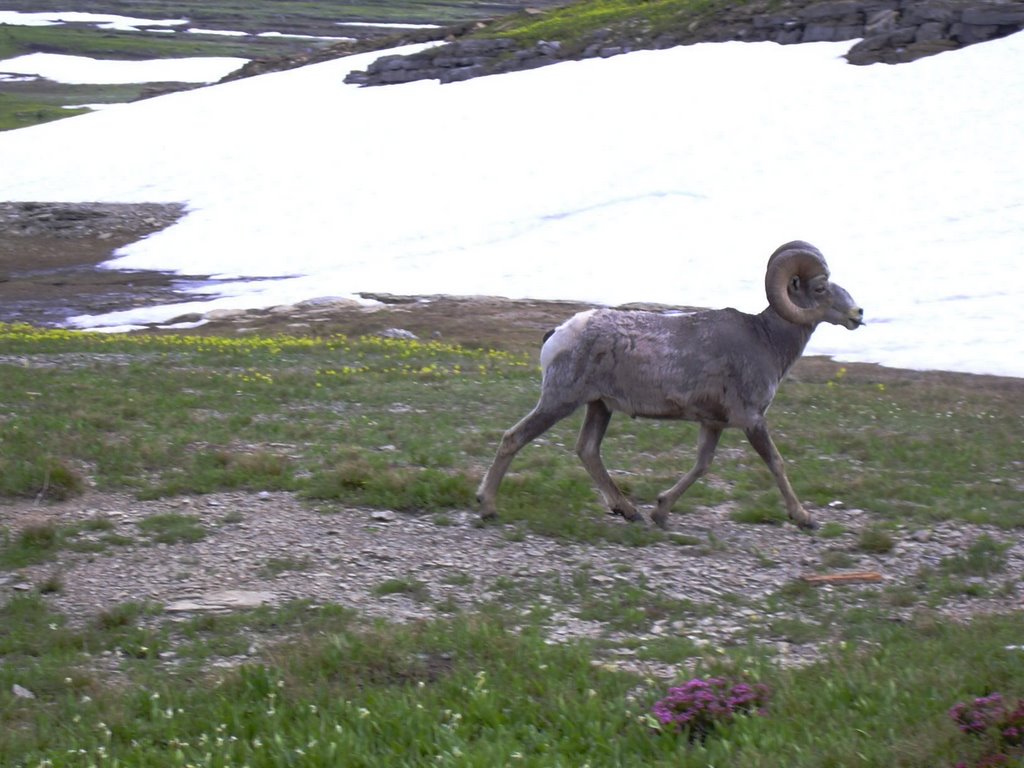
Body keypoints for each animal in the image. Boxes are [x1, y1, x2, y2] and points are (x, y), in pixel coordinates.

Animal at [477, 240, 864, 528]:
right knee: (514, 439)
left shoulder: (712, 423)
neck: (765, 340)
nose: (858, 314)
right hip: (560, 402)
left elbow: (702, 466)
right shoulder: (752, 420)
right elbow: (776, 463)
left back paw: (629, 512)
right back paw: (488, 507)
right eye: (820, 288)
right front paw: (804, 518)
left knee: (588, 451)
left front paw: (660, 512)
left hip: (599, 407)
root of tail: (558, 334)